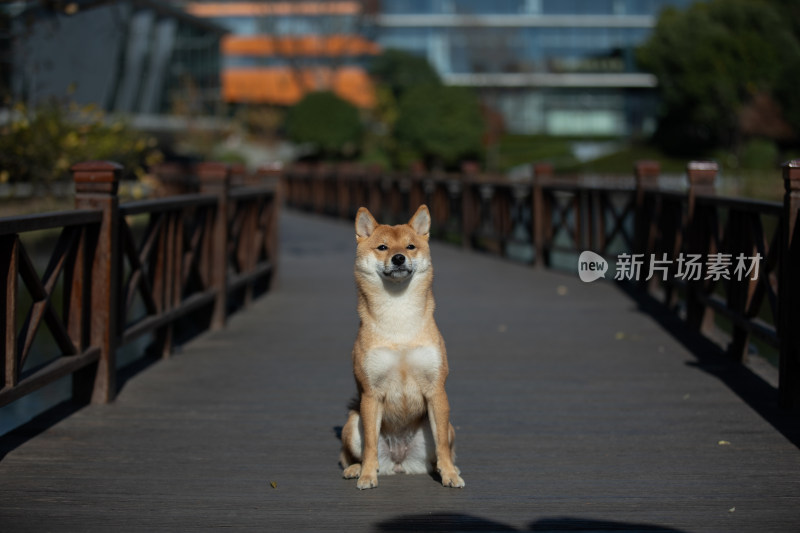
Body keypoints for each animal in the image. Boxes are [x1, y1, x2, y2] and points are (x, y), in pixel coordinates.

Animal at [338, 206, 462, 488]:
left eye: (410, 246)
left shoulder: (436, 391)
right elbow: (370, 445)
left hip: (446, 427)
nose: (398, 258)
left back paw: (448, 469)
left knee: (442, 450)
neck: (399, 320)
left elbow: (442, 445)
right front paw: (367, 475)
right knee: (351, 453)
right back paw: (356, 469)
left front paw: (449, 474)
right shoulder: (371, 394)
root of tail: (399, 461)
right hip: (353, 422)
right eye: (382, 247)